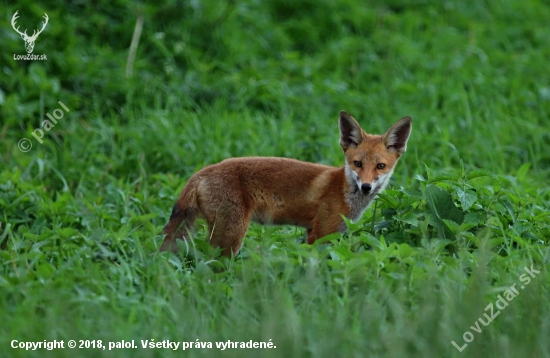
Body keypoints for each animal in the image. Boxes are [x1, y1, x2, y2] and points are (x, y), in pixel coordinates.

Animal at [162, 110, 412, 256]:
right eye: (357, 164)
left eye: (380, 166)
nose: (366, 187)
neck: (343, 190)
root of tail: (201, 172)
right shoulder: (322, 234)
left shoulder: (314, 230)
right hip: (231, 236)